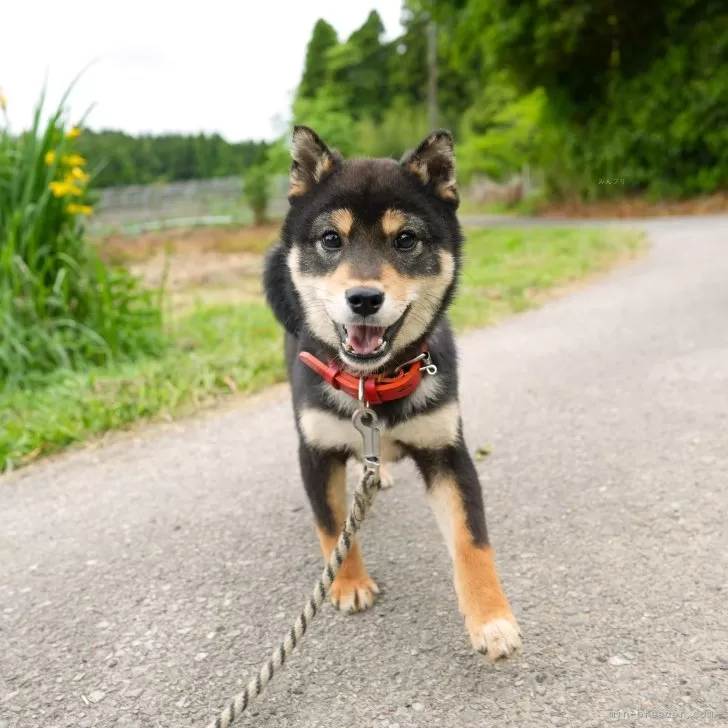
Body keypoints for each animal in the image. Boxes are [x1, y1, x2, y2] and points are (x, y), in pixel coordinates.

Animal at [264, 128, 520, 664]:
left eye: (405, 239)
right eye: (331, 239)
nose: (364, 299)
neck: (375, 382)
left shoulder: (447, 451)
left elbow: (472, 543)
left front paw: (491, 618)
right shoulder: (315, 450)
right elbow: (331, 526)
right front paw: (347, 582)